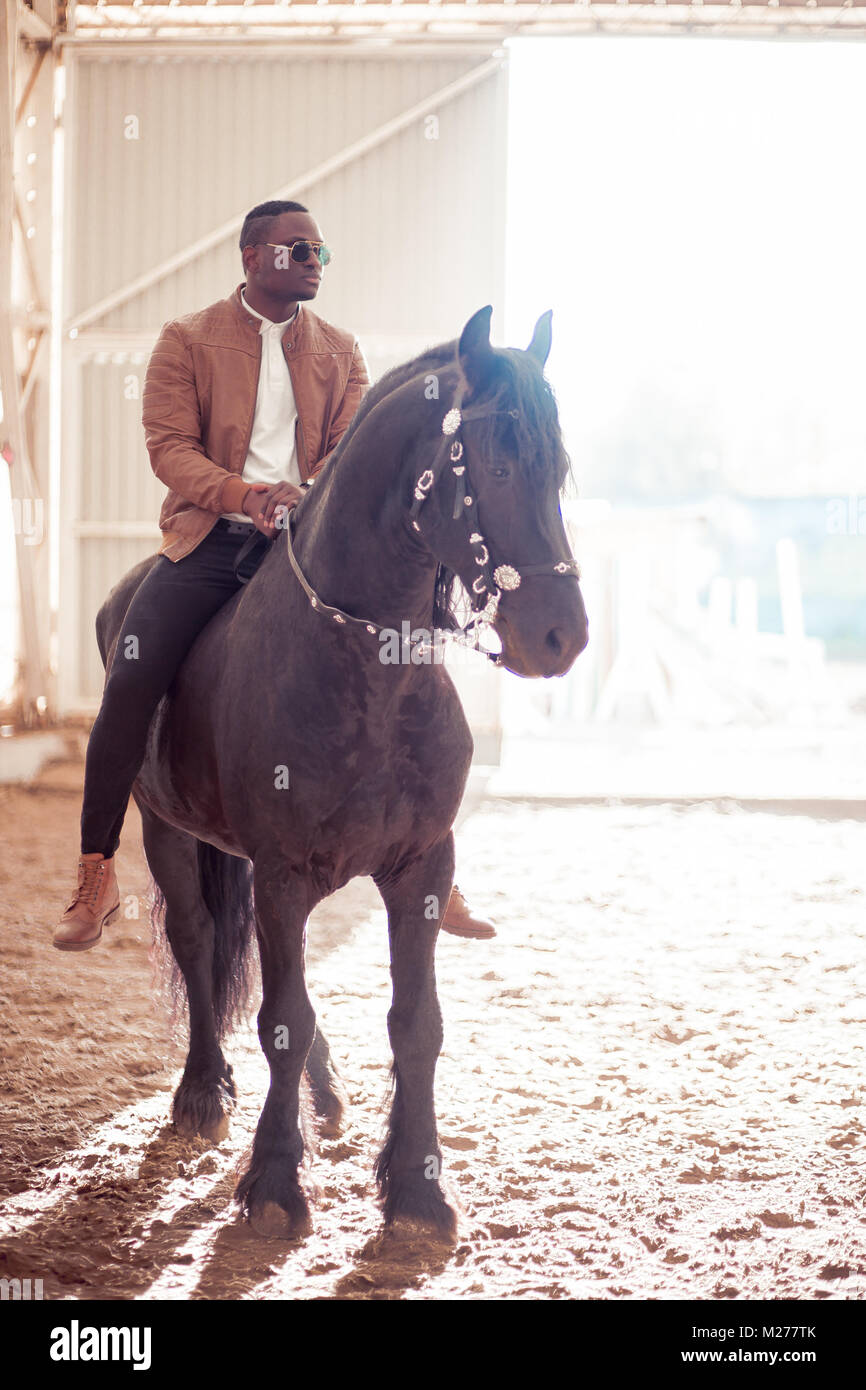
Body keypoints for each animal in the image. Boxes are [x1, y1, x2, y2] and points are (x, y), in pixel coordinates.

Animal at [96, 305, 589, 1239]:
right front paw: (274, 1182)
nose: (562, 637)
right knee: (199, 942)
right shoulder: (284, 875)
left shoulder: (419, 869)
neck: (366, 668)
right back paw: (203, 1091)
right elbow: (282, 1019)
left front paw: (418, 1188)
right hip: (167, 831)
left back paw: (321, 1094)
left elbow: (415, 1023)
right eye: (500, 462)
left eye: (560, 470)